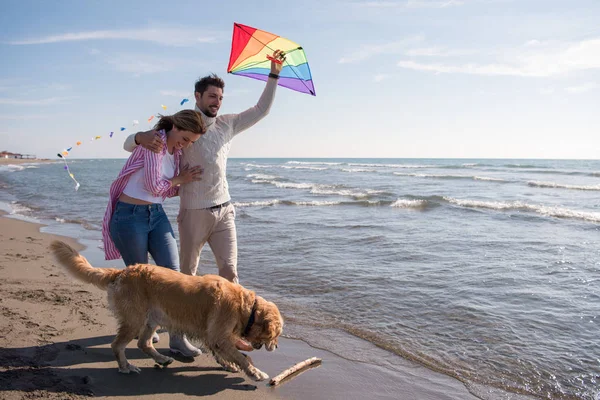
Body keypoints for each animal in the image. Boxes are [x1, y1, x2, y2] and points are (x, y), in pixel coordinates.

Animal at [48, 239, 282, 380]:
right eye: (276, 335)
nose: (277, 347)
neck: (247, 308)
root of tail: (121, 272)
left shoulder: (213, 336)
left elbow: (225, 353)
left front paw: (228, 364)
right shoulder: (218, 335)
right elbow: (243, 357)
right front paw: (255, 372)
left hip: (153, 318)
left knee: (143, 343)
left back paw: (161, 359)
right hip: (134, 320)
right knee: (117, 345)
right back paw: (126, 367)